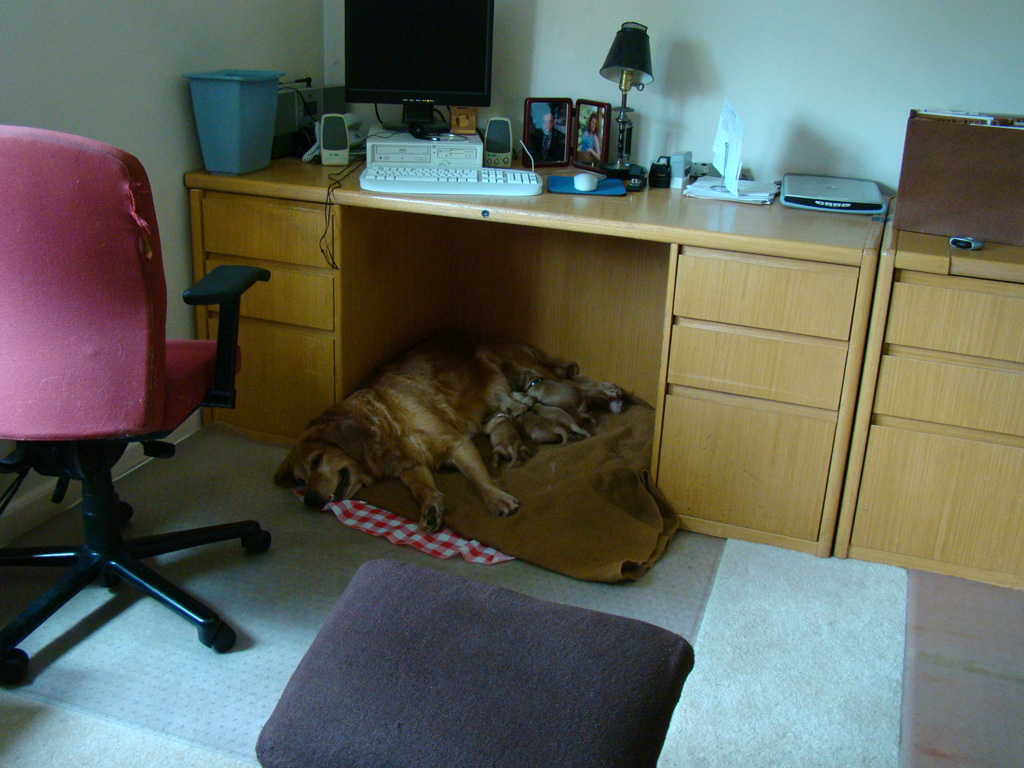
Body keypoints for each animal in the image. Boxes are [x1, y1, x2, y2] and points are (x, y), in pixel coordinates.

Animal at [272, 335, 577, 536]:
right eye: (300, 481)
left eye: (316, 459)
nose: (310, 500)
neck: (387, 424)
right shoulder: (411, 467)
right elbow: (421, 488)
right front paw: (431, 507)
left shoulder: (457, 444)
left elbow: (477, 479)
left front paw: (495, 498)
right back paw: (520, 404)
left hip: (529, 369)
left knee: (569, 380)